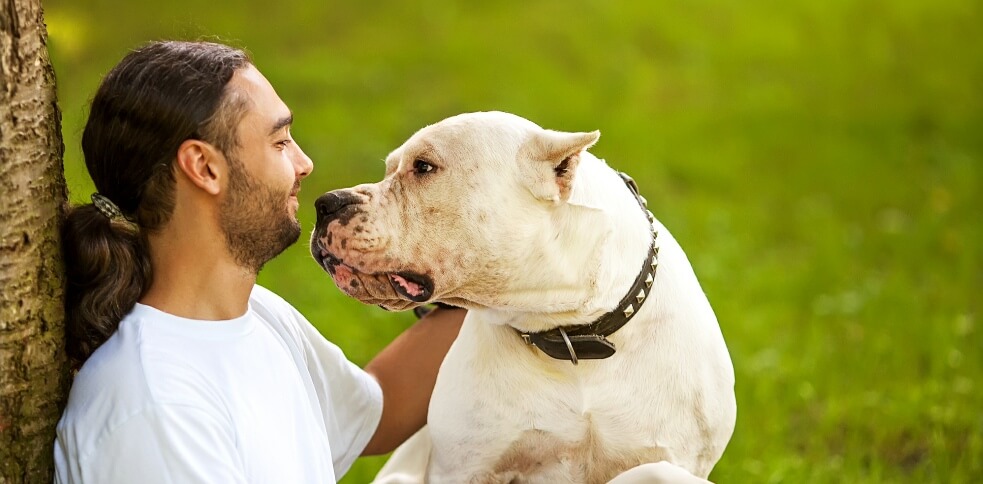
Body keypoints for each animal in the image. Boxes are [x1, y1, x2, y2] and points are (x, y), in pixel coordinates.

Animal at [312, 111, 736, 482]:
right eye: (390, 168)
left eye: (424, 167)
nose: (325, 202)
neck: (571, 331)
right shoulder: (466, 467)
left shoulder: (674, 460)